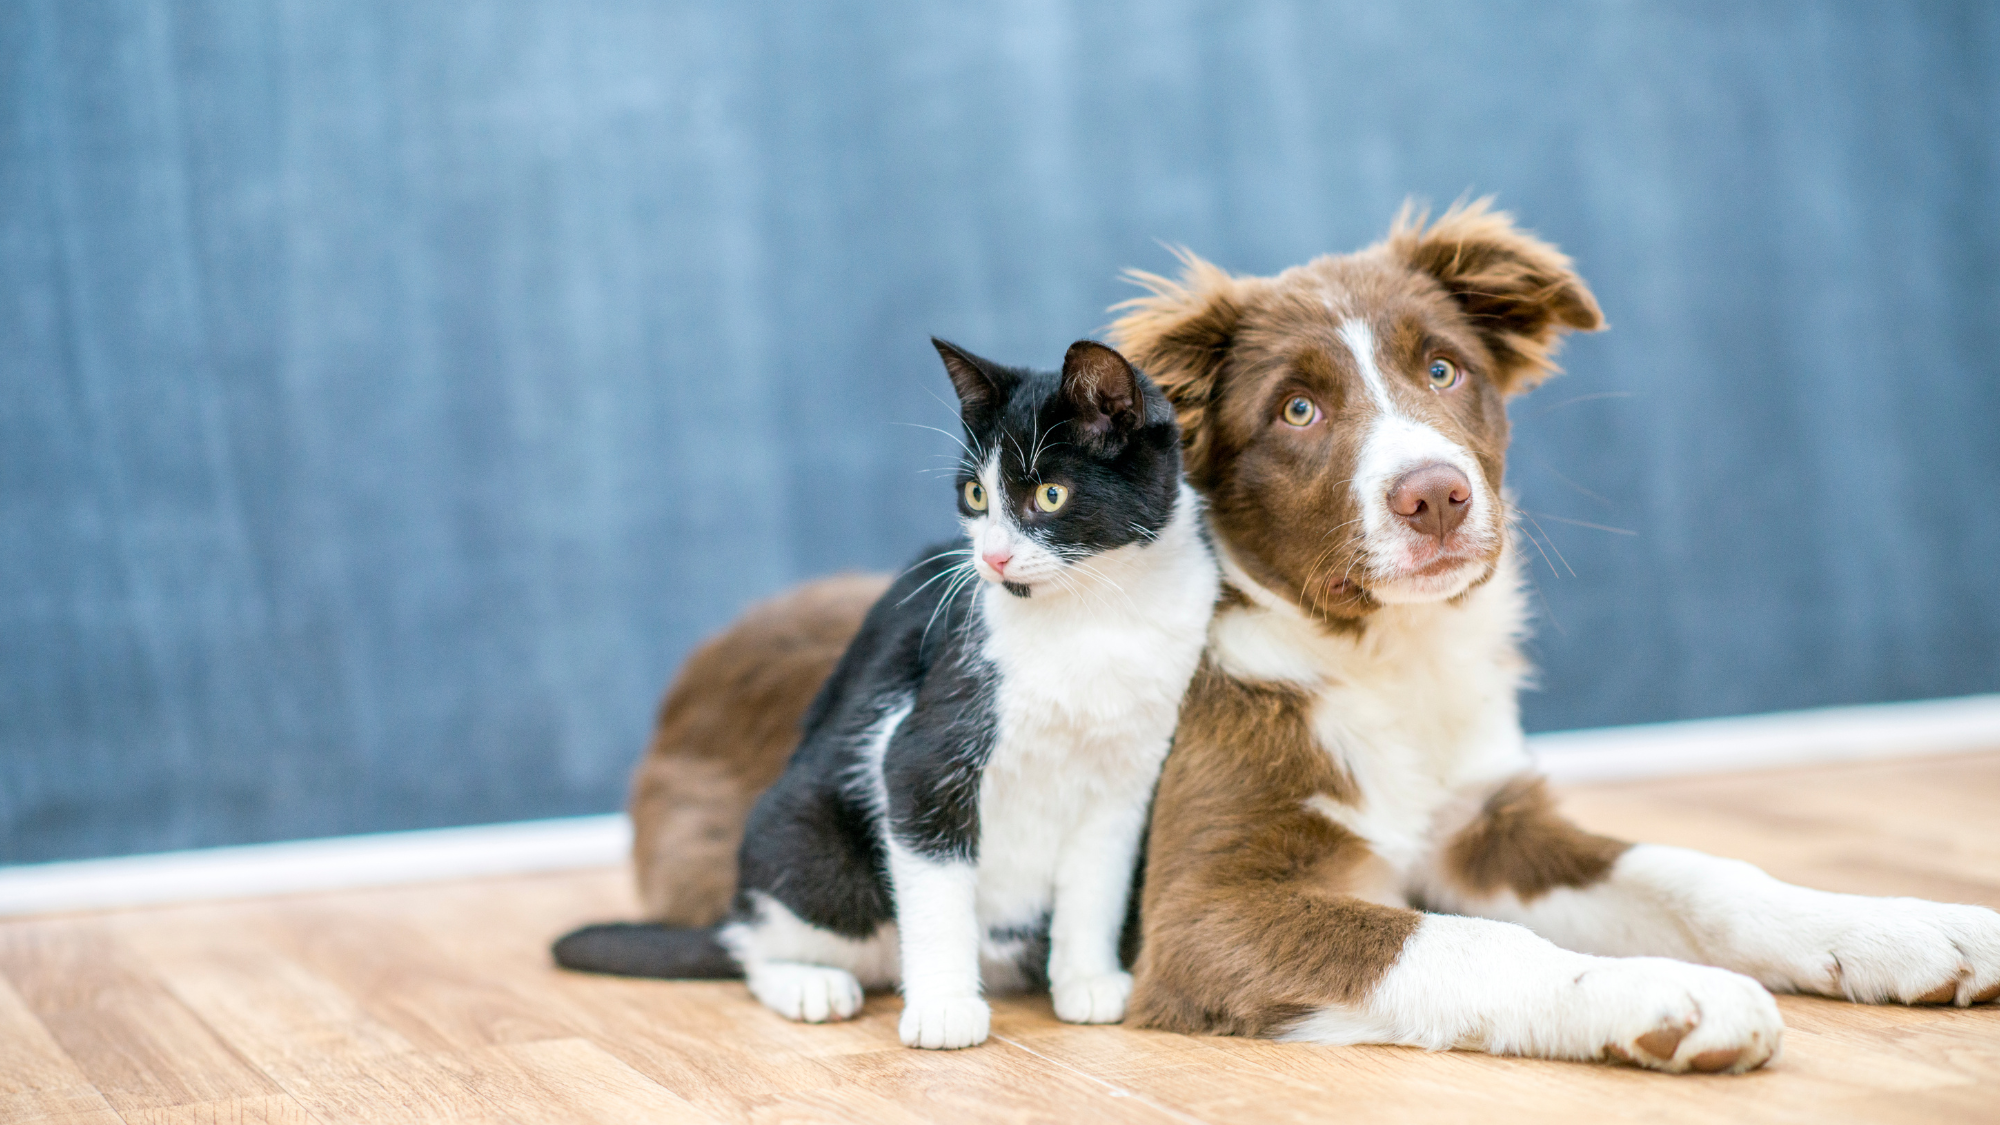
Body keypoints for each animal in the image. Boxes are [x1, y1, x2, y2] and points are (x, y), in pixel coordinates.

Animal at [564, 332, 1216, 1040]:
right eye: (975, 496)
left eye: (1050, 495)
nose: (992, 557)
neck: (1094, 616)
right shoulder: (921, 752)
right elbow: (935, 887)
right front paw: (944, 1008)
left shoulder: (1127, 779)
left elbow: (1096, 886)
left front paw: (1088, 981)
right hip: (811, 847)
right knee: (755, 941)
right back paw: (808, 983)